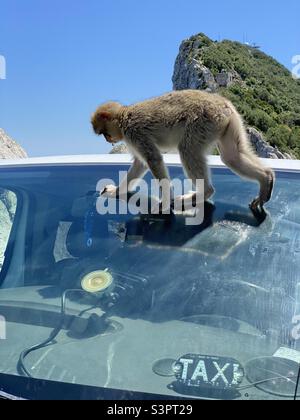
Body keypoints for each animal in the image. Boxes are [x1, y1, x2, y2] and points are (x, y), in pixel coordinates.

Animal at [91, 89, 274, 213]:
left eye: (105, 133)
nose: (108, 140)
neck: (124, 116)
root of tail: (223, 102)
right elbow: (140, 164)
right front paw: (117, 191)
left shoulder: (134, 132)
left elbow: (153, 159)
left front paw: (164, 203)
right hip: (228, 123)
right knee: (232, 156)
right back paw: (266, 178)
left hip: (204, 121)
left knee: (187, 150)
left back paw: (204, 193)